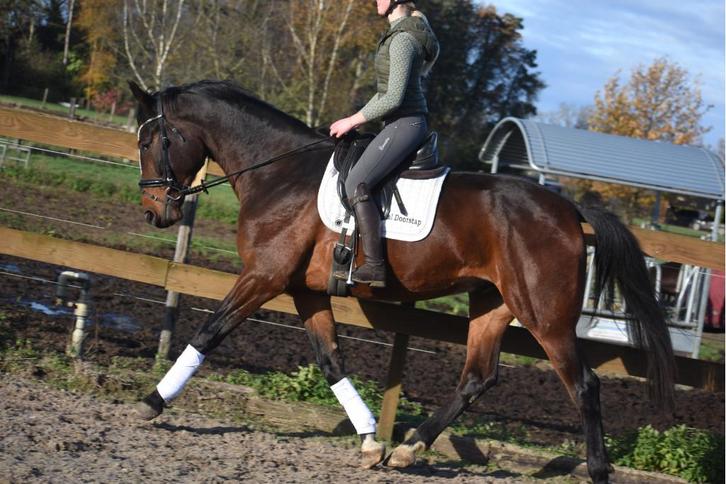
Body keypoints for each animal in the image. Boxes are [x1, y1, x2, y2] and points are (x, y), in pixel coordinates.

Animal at [129, 80, 675, 483]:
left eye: (149, 141)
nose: (154, 212)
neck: (280, 173)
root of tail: (568, 209)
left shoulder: (263, 276)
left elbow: (210, 332)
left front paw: (152, 402)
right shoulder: (304, 290)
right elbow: (330, 360)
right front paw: (371, 441)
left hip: (545, 315)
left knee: (583, 385)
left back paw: (598, 471)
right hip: (493, 304)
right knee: (477, 377)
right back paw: (408, 450)